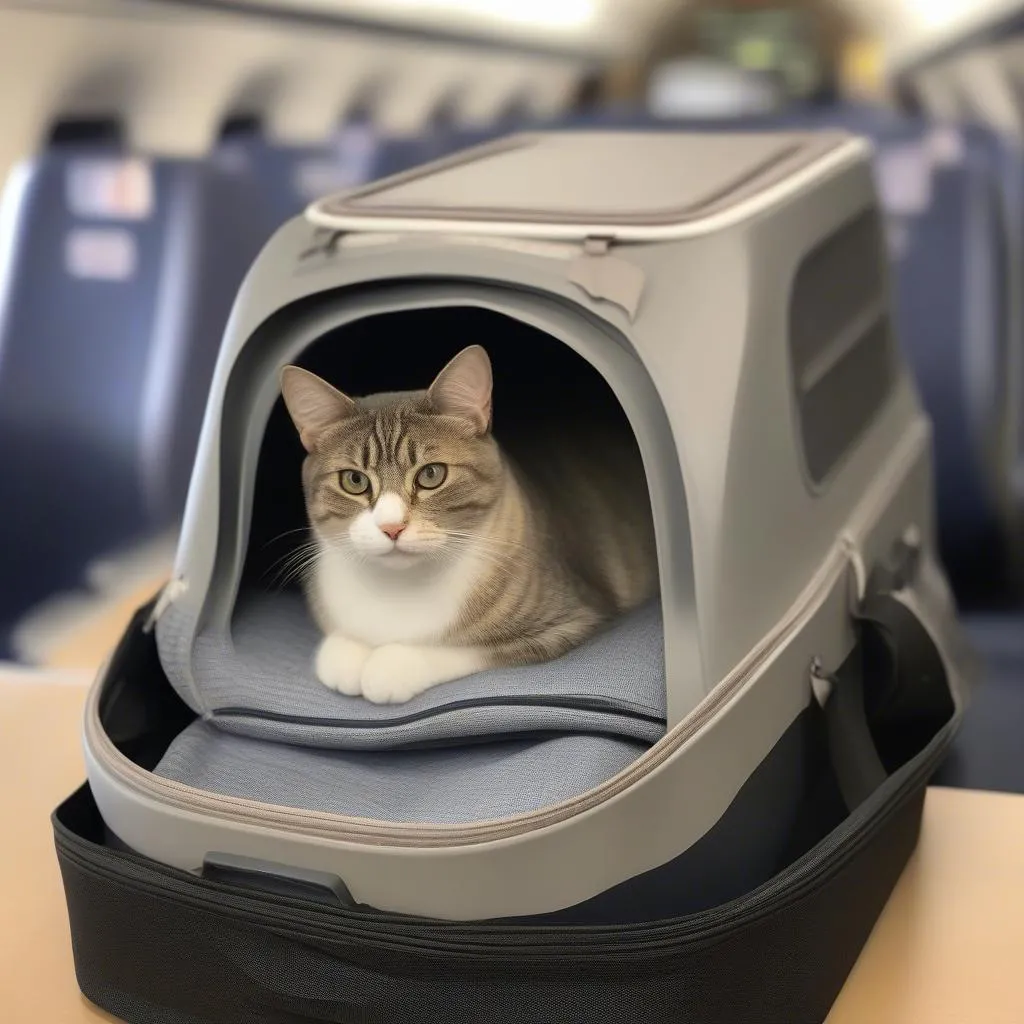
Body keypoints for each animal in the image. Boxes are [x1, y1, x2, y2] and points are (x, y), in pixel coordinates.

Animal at [280, 344, 655, 704]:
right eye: (354, 480)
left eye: (432, 474)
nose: (391, 527)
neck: (399, 587)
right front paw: (344, 652)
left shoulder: (571, 619)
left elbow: (470, 648)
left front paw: (390, 665)